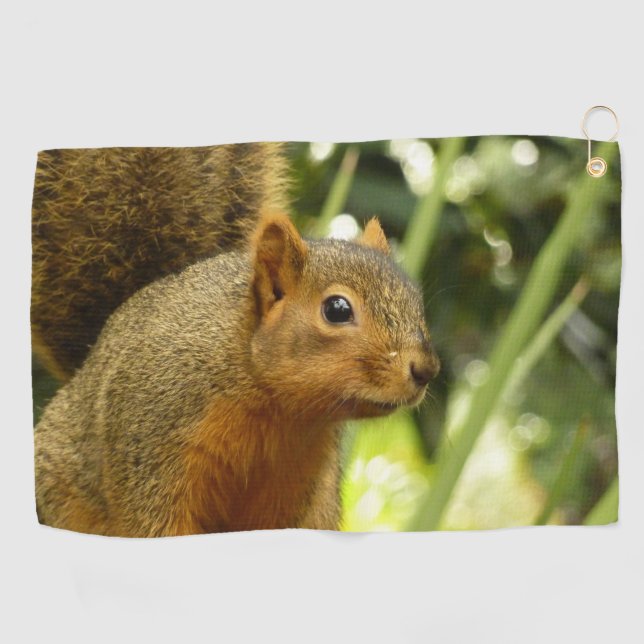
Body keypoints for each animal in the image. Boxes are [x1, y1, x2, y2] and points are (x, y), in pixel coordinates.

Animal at [32, 143, 440, 536]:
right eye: (337, 309)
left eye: (416, 301)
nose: (426, 369)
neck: (277, 410)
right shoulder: (152, 441)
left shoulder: (298, 483)